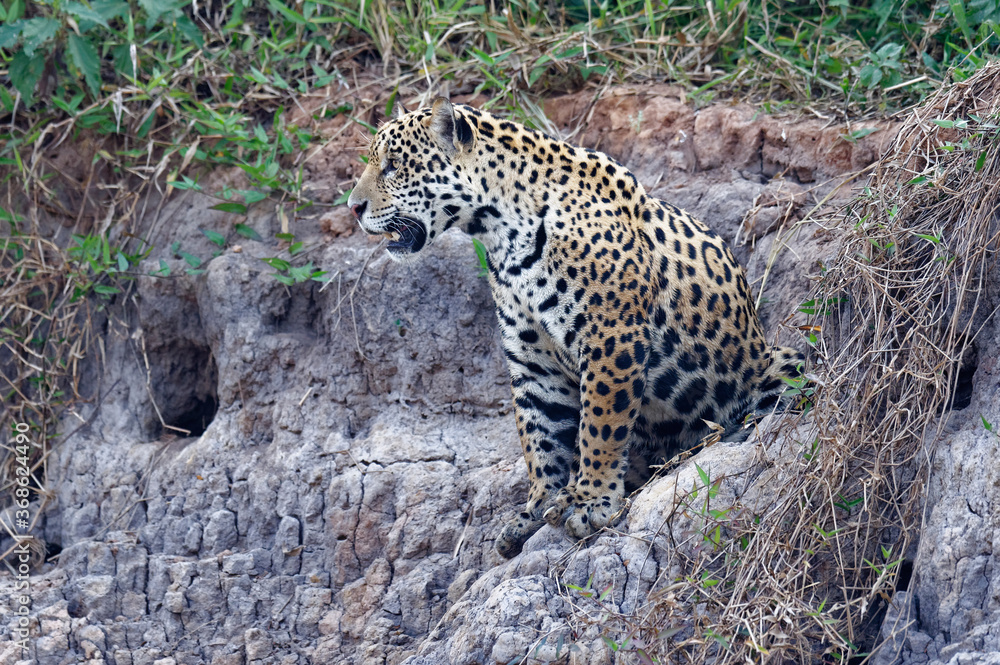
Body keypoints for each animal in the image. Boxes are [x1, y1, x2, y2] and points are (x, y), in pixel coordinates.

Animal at [348, 97, 804, 558]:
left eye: (392, 165)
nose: (353, 208)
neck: (502, 236)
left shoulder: (611, 337)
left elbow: (599, 426)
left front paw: (590, 501)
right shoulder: (534, 360)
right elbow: (541, 438)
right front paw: (538, 508)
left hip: (782, 364)